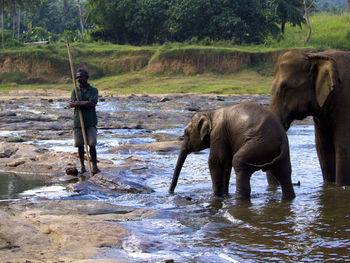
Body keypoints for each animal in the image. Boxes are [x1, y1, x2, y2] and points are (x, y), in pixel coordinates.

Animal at [270, 49, 350, 186]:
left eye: (285, 87)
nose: (297, 182)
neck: (314, 56)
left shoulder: (345, 101)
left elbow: (343, 146)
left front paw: (341, 188)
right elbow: (323, 148)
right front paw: (329, 186)